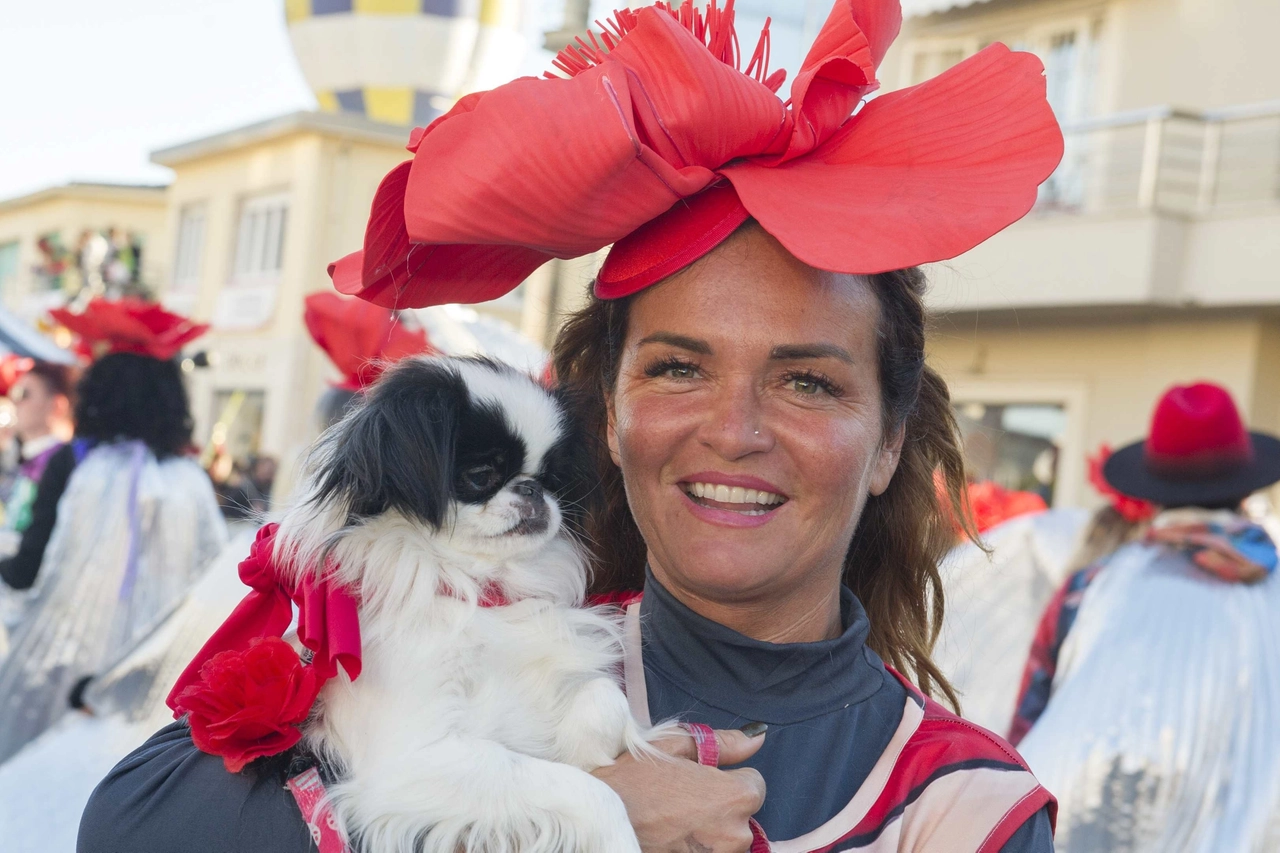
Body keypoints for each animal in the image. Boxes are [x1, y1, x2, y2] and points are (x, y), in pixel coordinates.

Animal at [275, 356, 665, 850]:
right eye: (481, 475)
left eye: (553, 480)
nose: (532, 490)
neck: (478, 592)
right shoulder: (418, 757)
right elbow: (592, 794)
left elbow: (604, 699)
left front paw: (586, 751)